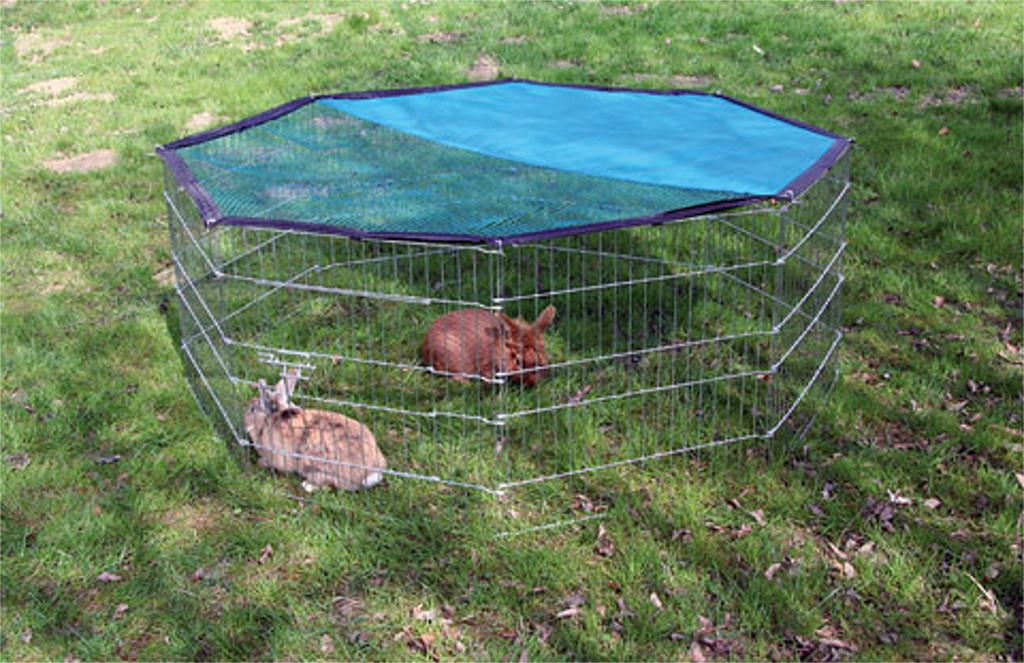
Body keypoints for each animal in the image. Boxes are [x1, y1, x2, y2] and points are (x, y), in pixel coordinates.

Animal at [243, 372, 386, 492]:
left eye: (252, 409)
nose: (244, 418)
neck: (267, 421)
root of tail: (372, 472)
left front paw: (261, 462)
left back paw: (308, 485)